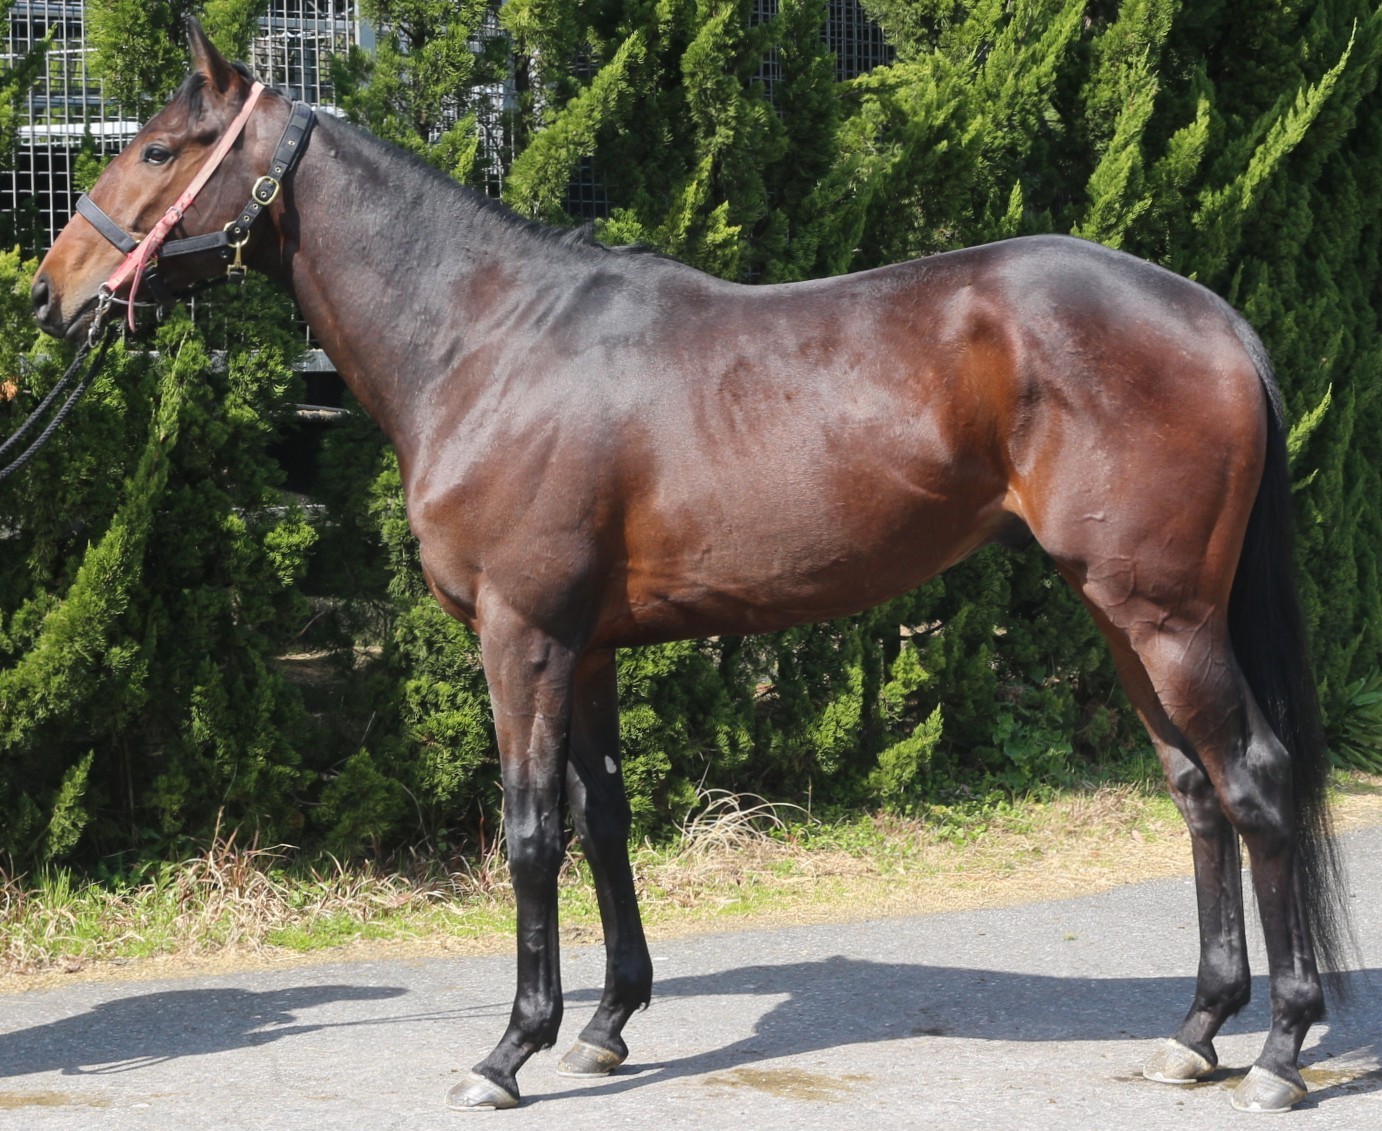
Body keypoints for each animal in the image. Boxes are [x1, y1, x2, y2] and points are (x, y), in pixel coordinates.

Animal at [31, 20, 1350, 1115]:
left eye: (157, 150)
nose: (52, 293)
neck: (488, 342)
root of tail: (1211, 317)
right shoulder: (588, 649)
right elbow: (603, 818)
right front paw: (606, 1025)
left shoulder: (522, 636)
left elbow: (528, 833)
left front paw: (509, 1051)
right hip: (1119, 613)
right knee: (1193, 793)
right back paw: (1194, 1031)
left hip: (1165, 616)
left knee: (1255, 783)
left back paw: (1279, 1052)